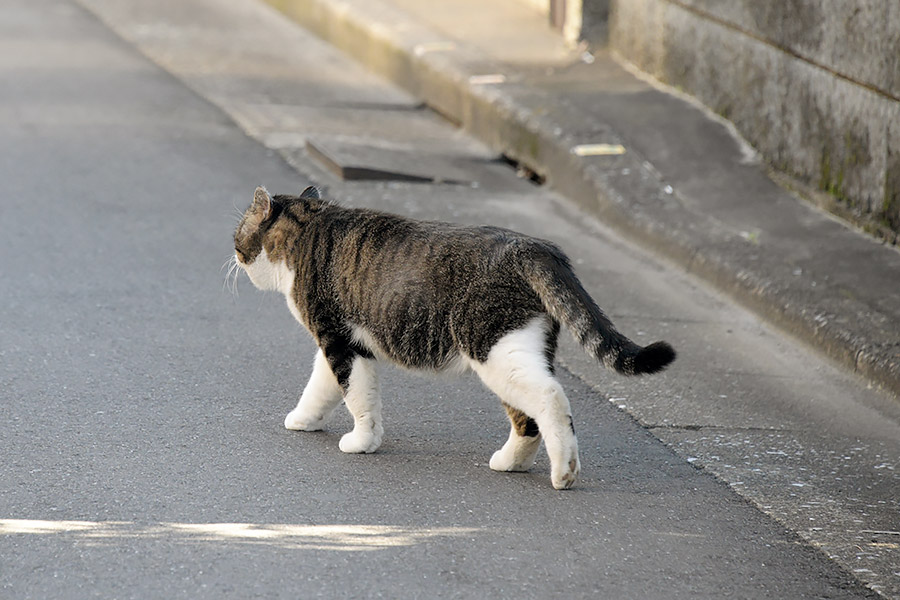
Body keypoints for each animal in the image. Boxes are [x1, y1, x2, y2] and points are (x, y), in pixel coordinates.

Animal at [232, 185, 676, 490]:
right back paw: (511, 462)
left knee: (550, 399)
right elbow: (322, 388)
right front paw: (305, 419)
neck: (308, 229)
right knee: (528, 417)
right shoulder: (346, 345)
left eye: (238, 232)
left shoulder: (338, 340)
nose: (233, 253)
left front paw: (361, 441)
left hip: (493, 350)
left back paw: (563, 472)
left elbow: (355, 396)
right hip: (519, 349)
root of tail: (535, 247)